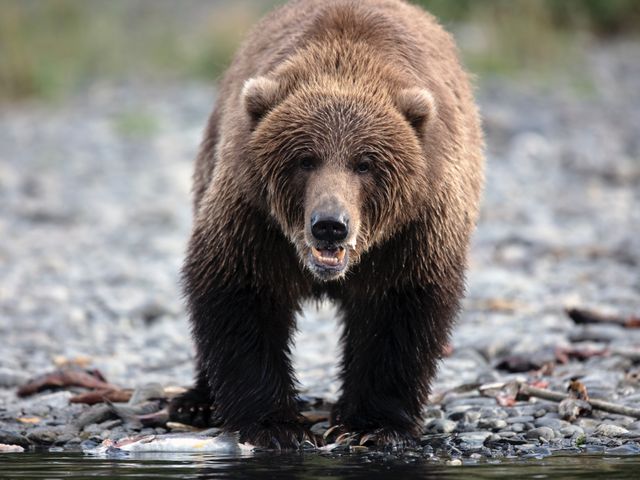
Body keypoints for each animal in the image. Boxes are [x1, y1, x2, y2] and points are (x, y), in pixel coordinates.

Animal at [170, 0, 484, 450]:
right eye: (305, 159)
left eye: (365, 163)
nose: (330, 225)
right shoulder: (254, 220)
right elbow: (238, 294)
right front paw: (274, 425)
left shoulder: (413, 231)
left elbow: (399, 312)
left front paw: (371, 425)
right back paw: (194, 402)